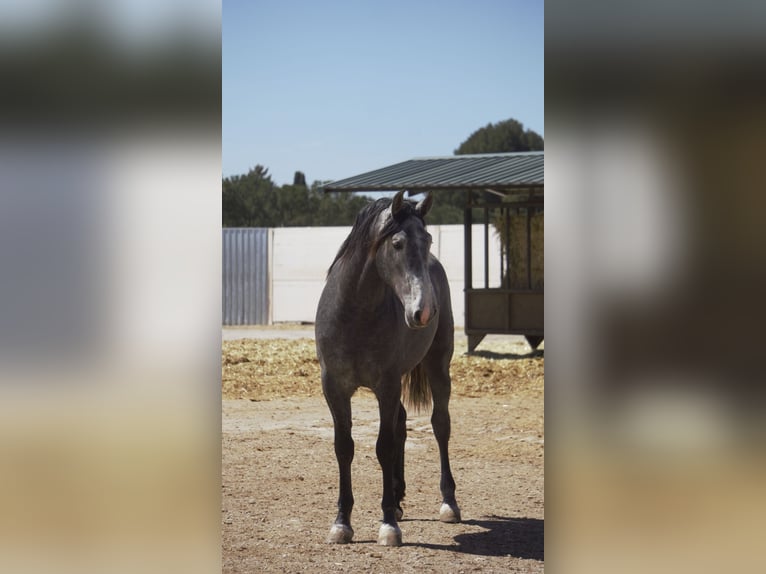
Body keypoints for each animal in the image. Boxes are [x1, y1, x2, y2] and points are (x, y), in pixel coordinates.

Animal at [314, 190, 462, 548]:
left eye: (428, 239)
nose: (425, 311)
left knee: (440, 425)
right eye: (397, 244)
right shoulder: (334, 388)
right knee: (402, 426)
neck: (354, 314)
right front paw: (342, 523)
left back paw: (448, 504)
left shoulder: (387, 386)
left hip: (438, 366)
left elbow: (383, 446)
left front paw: (388, 526)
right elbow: (344, 447)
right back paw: (397, 499)